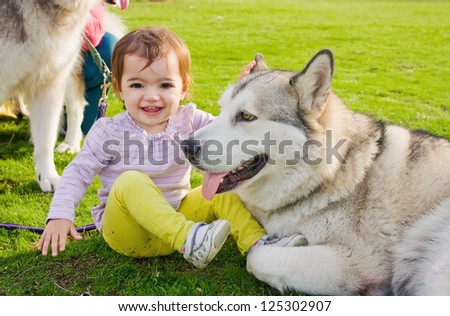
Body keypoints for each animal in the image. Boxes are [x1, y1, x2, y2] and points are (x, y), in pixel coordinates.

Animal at [183, 50, 450, 296]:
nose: (186, 146)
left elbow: (257, 257)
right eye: (220, 110)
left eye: (246, 116)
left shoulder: (357, 262)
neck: (333, 174)